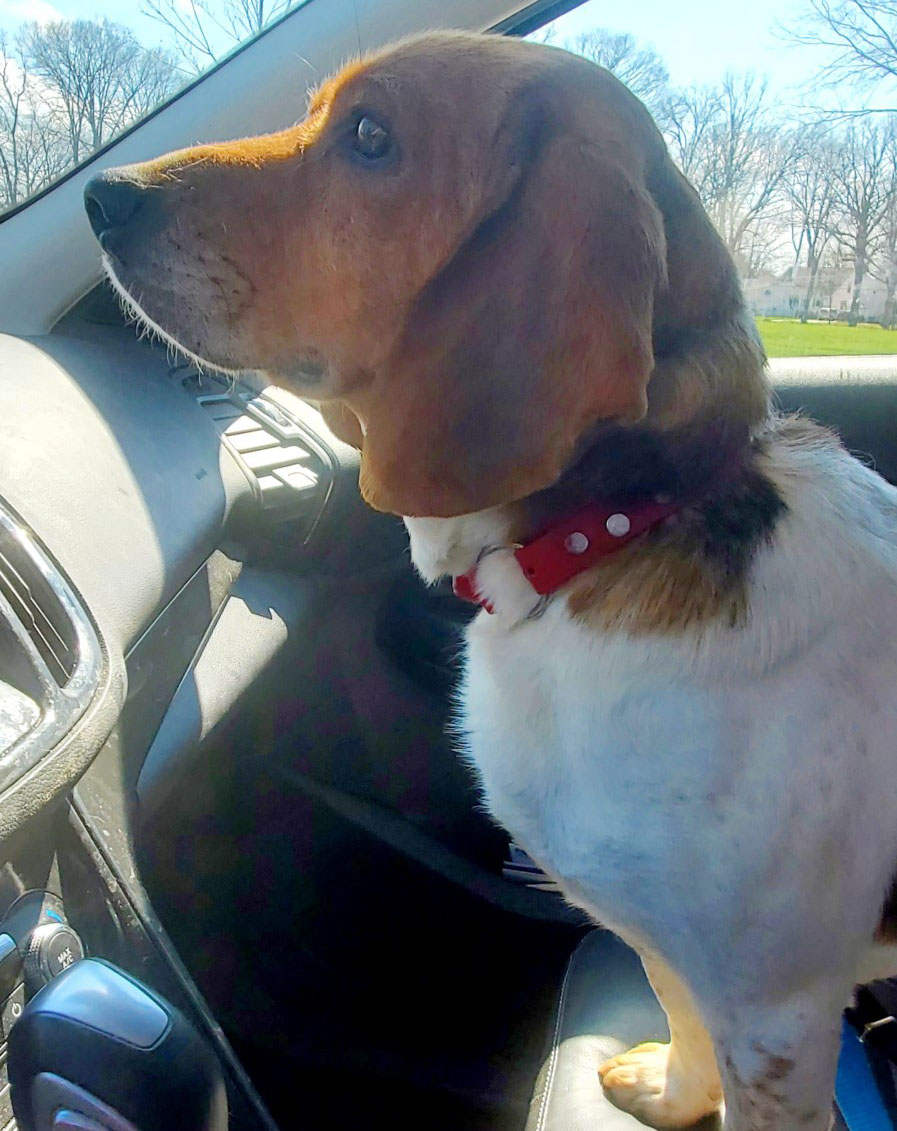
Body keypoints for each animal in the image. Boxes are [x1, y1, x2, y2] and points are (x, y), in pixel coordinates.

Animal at [84, 31, 897, 1130]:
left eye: (371, 136)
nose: (102, 195)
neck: (613, 533)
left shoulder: (777, 1019)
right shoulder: (658, 934)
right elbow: (676, 1002)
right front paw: (672, 1093)